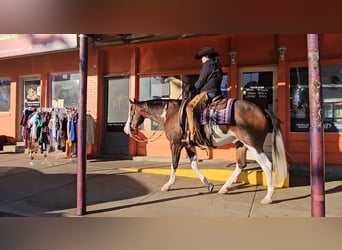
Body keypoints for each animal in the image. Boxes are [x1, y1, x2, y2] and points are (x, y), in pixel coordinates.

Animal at [124, 96, 288, 204]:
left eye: (131, 112)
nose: (126, 129)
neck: (171, 114)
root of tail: (263, 110)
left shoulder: (175, 143)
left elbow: (174, 164)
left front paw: (168, 185)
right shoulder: (188, 144)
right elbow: (193, 164)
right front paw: (208, 185)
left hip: (253, 144)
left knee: (266, 165)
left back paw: (268, 197)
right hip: (241, 144)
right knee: (241, 165)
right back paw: (224, 188)